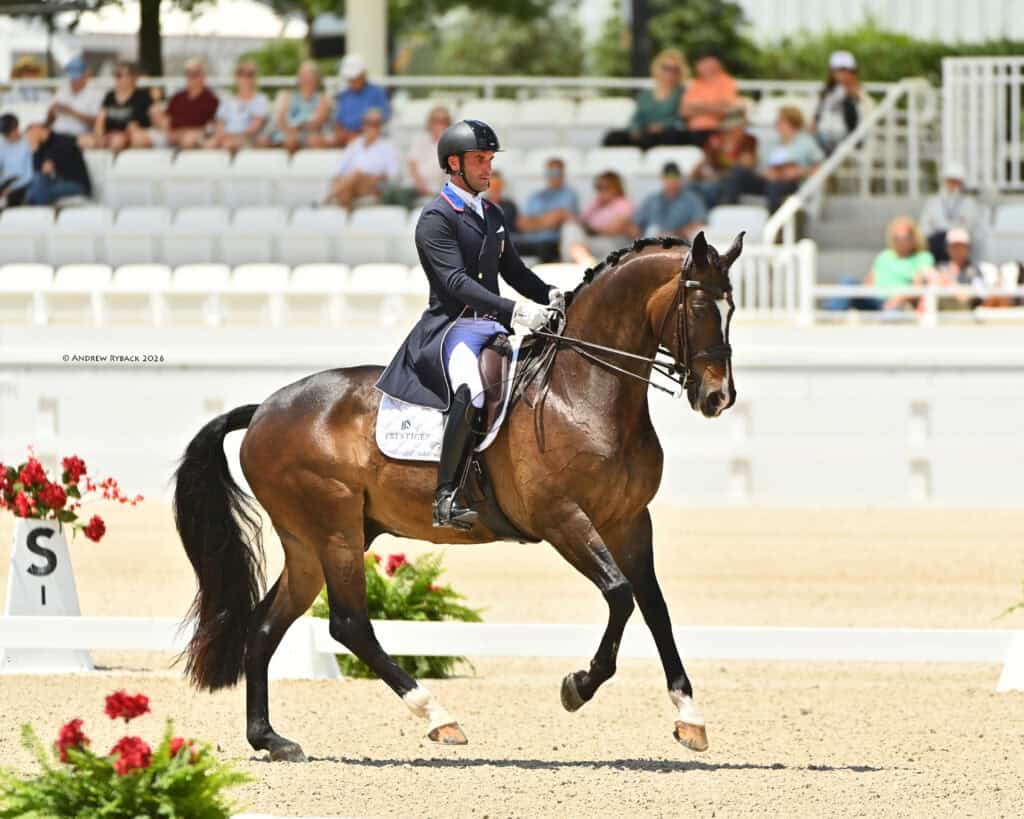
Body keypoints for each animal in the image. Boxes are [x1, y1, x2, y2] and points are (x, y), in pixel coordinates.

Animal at [172, 230, 742, 762]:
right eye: (698, 308)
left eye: (731, 308)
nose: (718, 398)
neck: (583, 391)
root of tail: (264, 410)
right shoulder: (562, 518)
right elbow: (621, 595)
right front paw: (577, 687)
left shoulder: (630, 520)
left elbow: (654, 606)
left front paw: (690, 718)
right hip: (334, 532)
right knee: (349, 625)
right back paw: (438, 717)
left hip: (312, 542)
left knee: (266, 625)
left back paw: (270, 738)